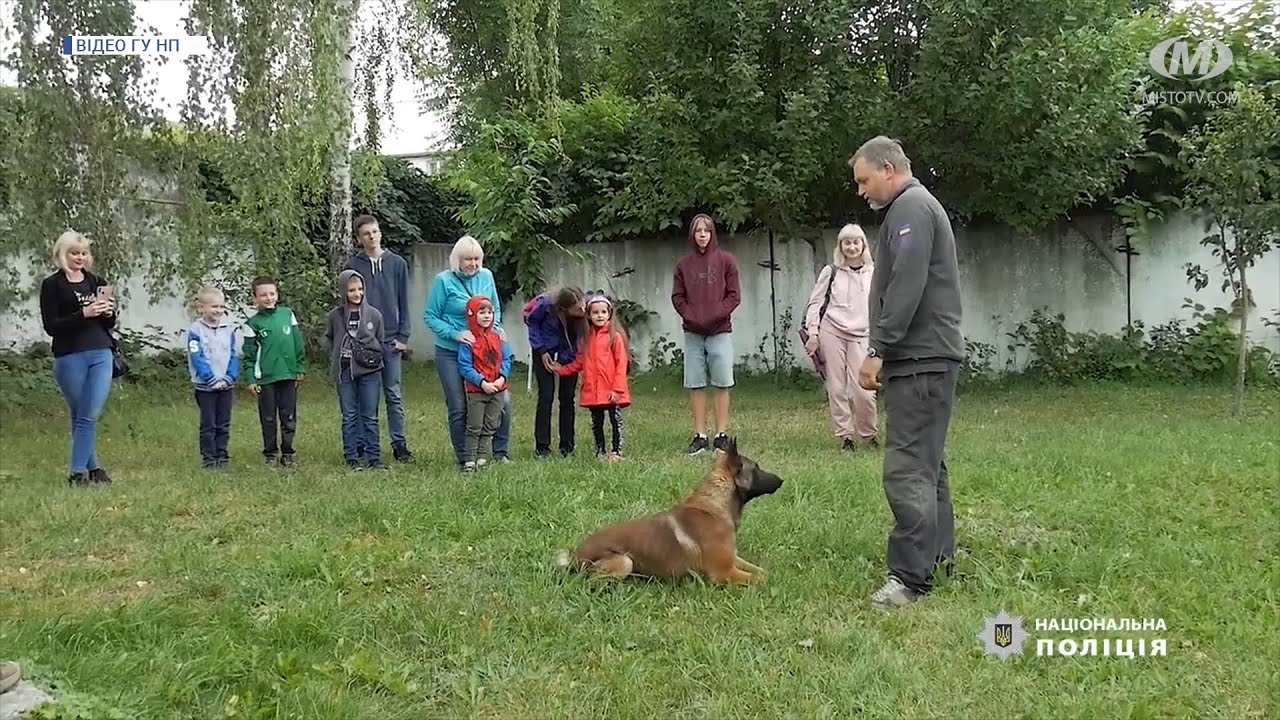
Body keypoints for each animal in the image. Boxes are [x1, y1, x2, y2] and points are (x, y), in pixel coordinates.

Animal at [555, 438, 783, 584]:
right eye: (757, 468)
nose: (782, 480)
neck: (714, 506)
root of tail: (577, 555)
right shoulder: (724, 572)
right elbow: (762, 578)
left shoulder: (734, 559)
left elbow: (762, 570)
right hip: (624, 561)